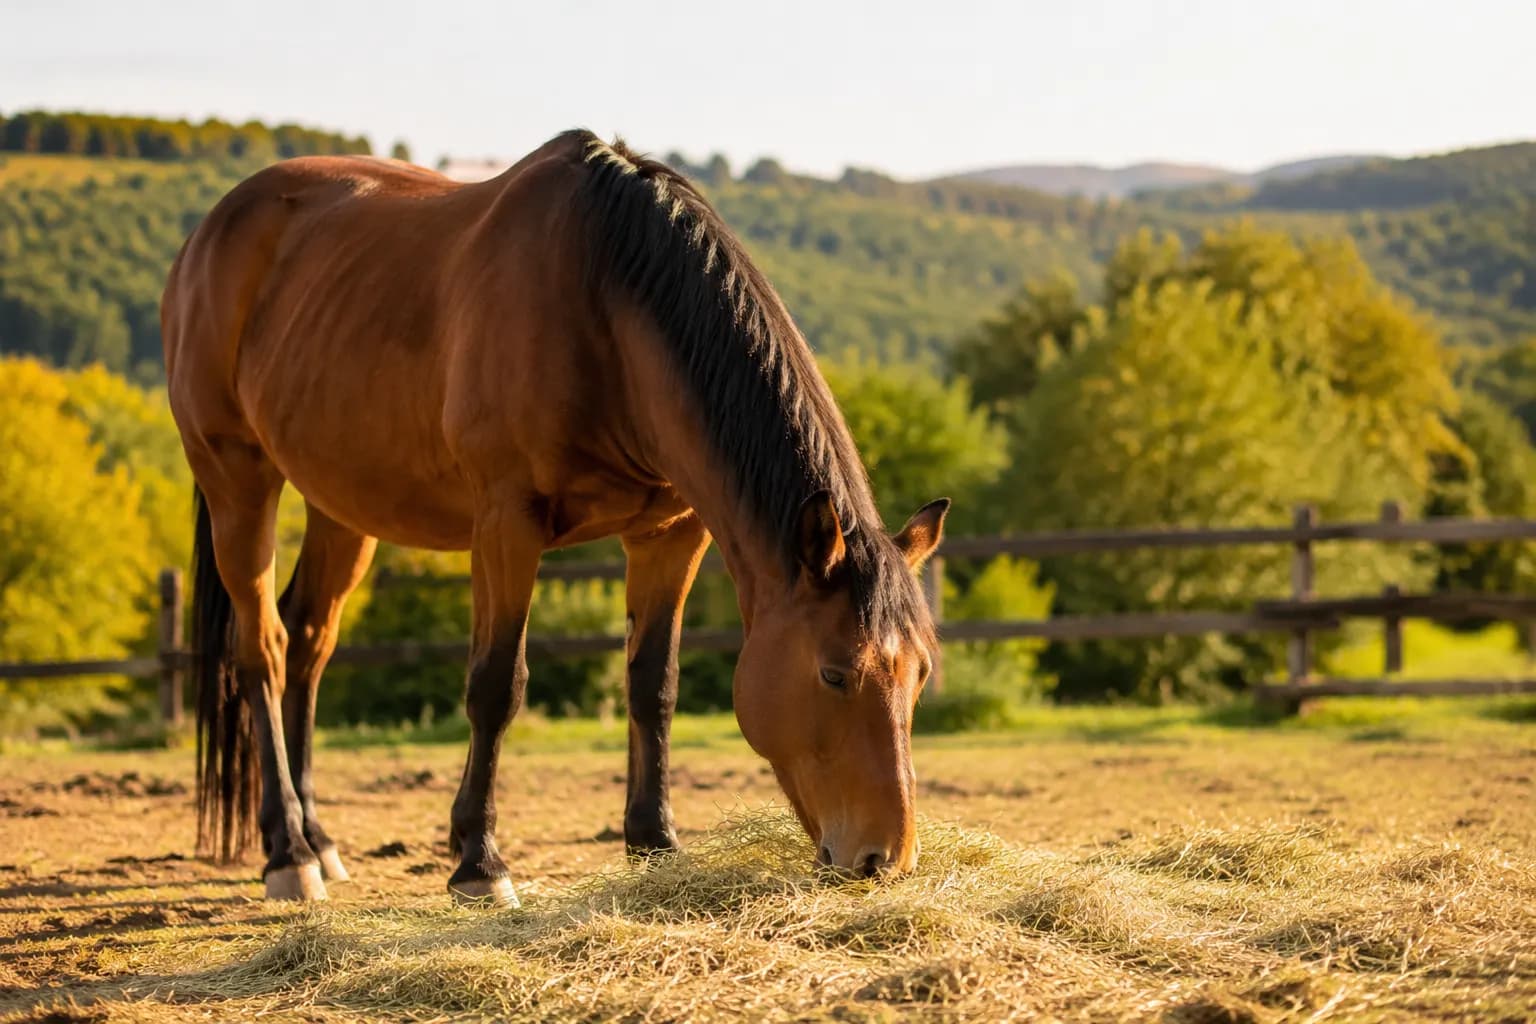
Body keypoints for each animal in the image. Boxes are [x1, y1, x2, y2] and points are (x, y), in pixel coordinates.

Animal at [161, 129, 948, 904]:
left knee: (308, 641)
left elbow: (652, 684)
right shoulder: (506, 526)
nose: (884, 858)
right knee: (261, 649)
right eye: (835, 675)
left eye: (918, 675)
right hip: (237, 479)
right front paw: (479, 863)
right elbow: (496, 685)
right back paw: (287, 851)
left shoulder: (669, 535)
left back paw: (319, 840)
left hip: (342, 506)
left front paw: (654, 845)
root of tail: (210, 233)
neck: (604, 301)